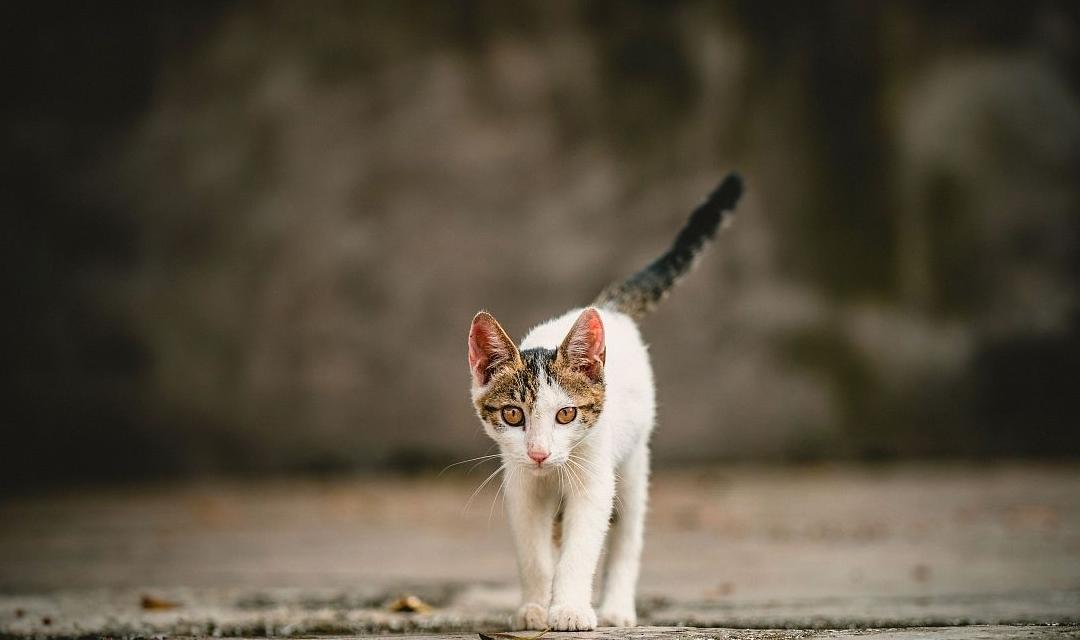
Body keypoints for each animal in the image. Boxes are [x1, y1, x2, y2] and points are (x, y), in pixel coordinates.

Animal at [468, 173, 747, 630]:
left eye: (566, 414)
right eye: (513, 414)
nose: (540, 453)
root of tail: (607, 306)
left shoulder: (594, 479)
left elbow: (581, 548)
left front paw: (568, 609)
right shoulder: (521, 484)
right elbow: (534, 554)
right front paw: (534, 606)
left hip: (633, 462)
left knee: (627, 535)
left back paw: (616, 608)